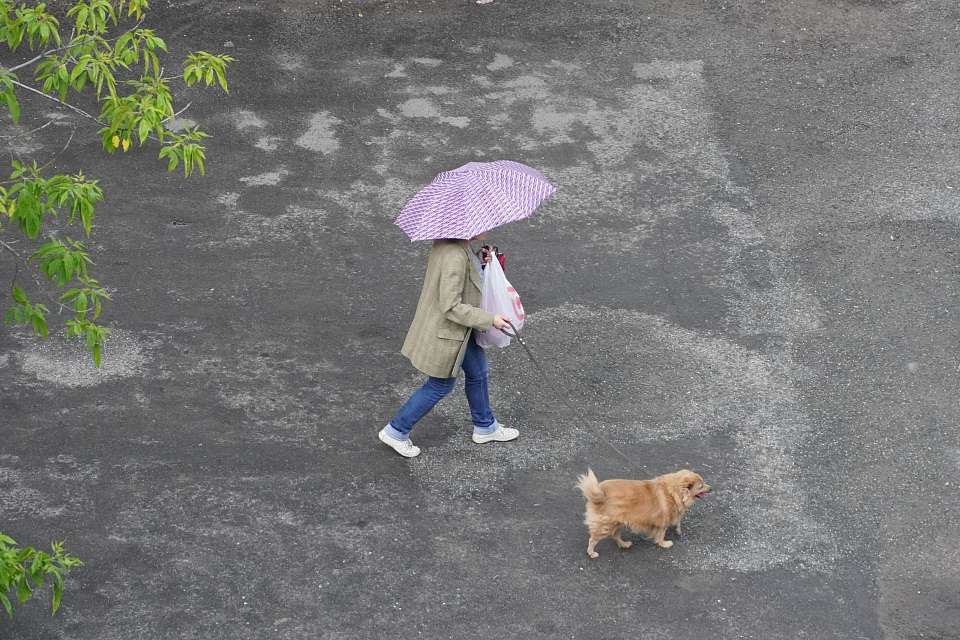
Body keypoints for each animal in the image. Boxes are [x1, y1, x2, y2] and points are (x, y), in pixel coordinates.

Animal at [572, 468, 708, 556]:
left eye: (703, 483)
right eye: (701, 486)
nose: (711, 488)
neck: (674, 491)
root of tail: (600, 493)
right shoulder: (663, 521)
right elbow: (661, 534)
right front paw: (664, 544)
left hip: (617, 522)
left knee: (615, 535)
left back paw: (624, 544)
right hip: (605, 525)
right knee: (593, 539)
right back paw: (591, 553)